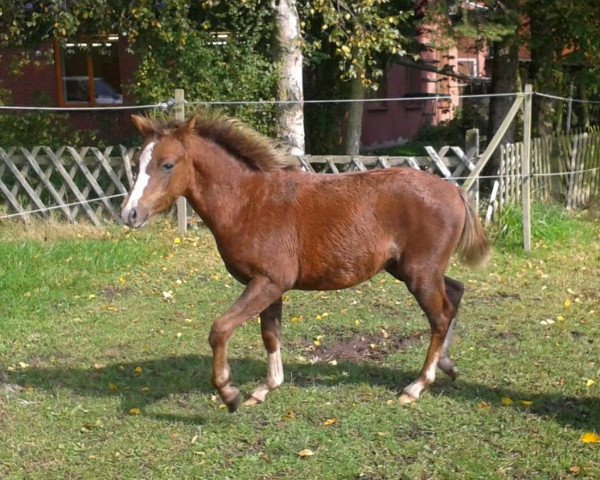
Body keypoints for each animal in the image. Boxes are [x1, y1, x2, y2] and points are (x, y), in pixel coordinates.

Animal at [120, 113, 488, 412]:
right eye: (137, 163)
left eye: (167, 165)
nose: (129, 214)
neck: (249, 202)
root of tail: (455, 192)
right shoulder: (268, 285)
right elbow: (270, 335)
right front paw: (264, 390)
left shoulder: (268, 282)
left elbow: (220, 329)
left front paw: (229, 393)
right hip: (411, 269)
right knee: (455, 293)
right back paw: (447, 365)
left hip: (419, 273)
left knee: (440, 316)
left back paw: (416, 386)